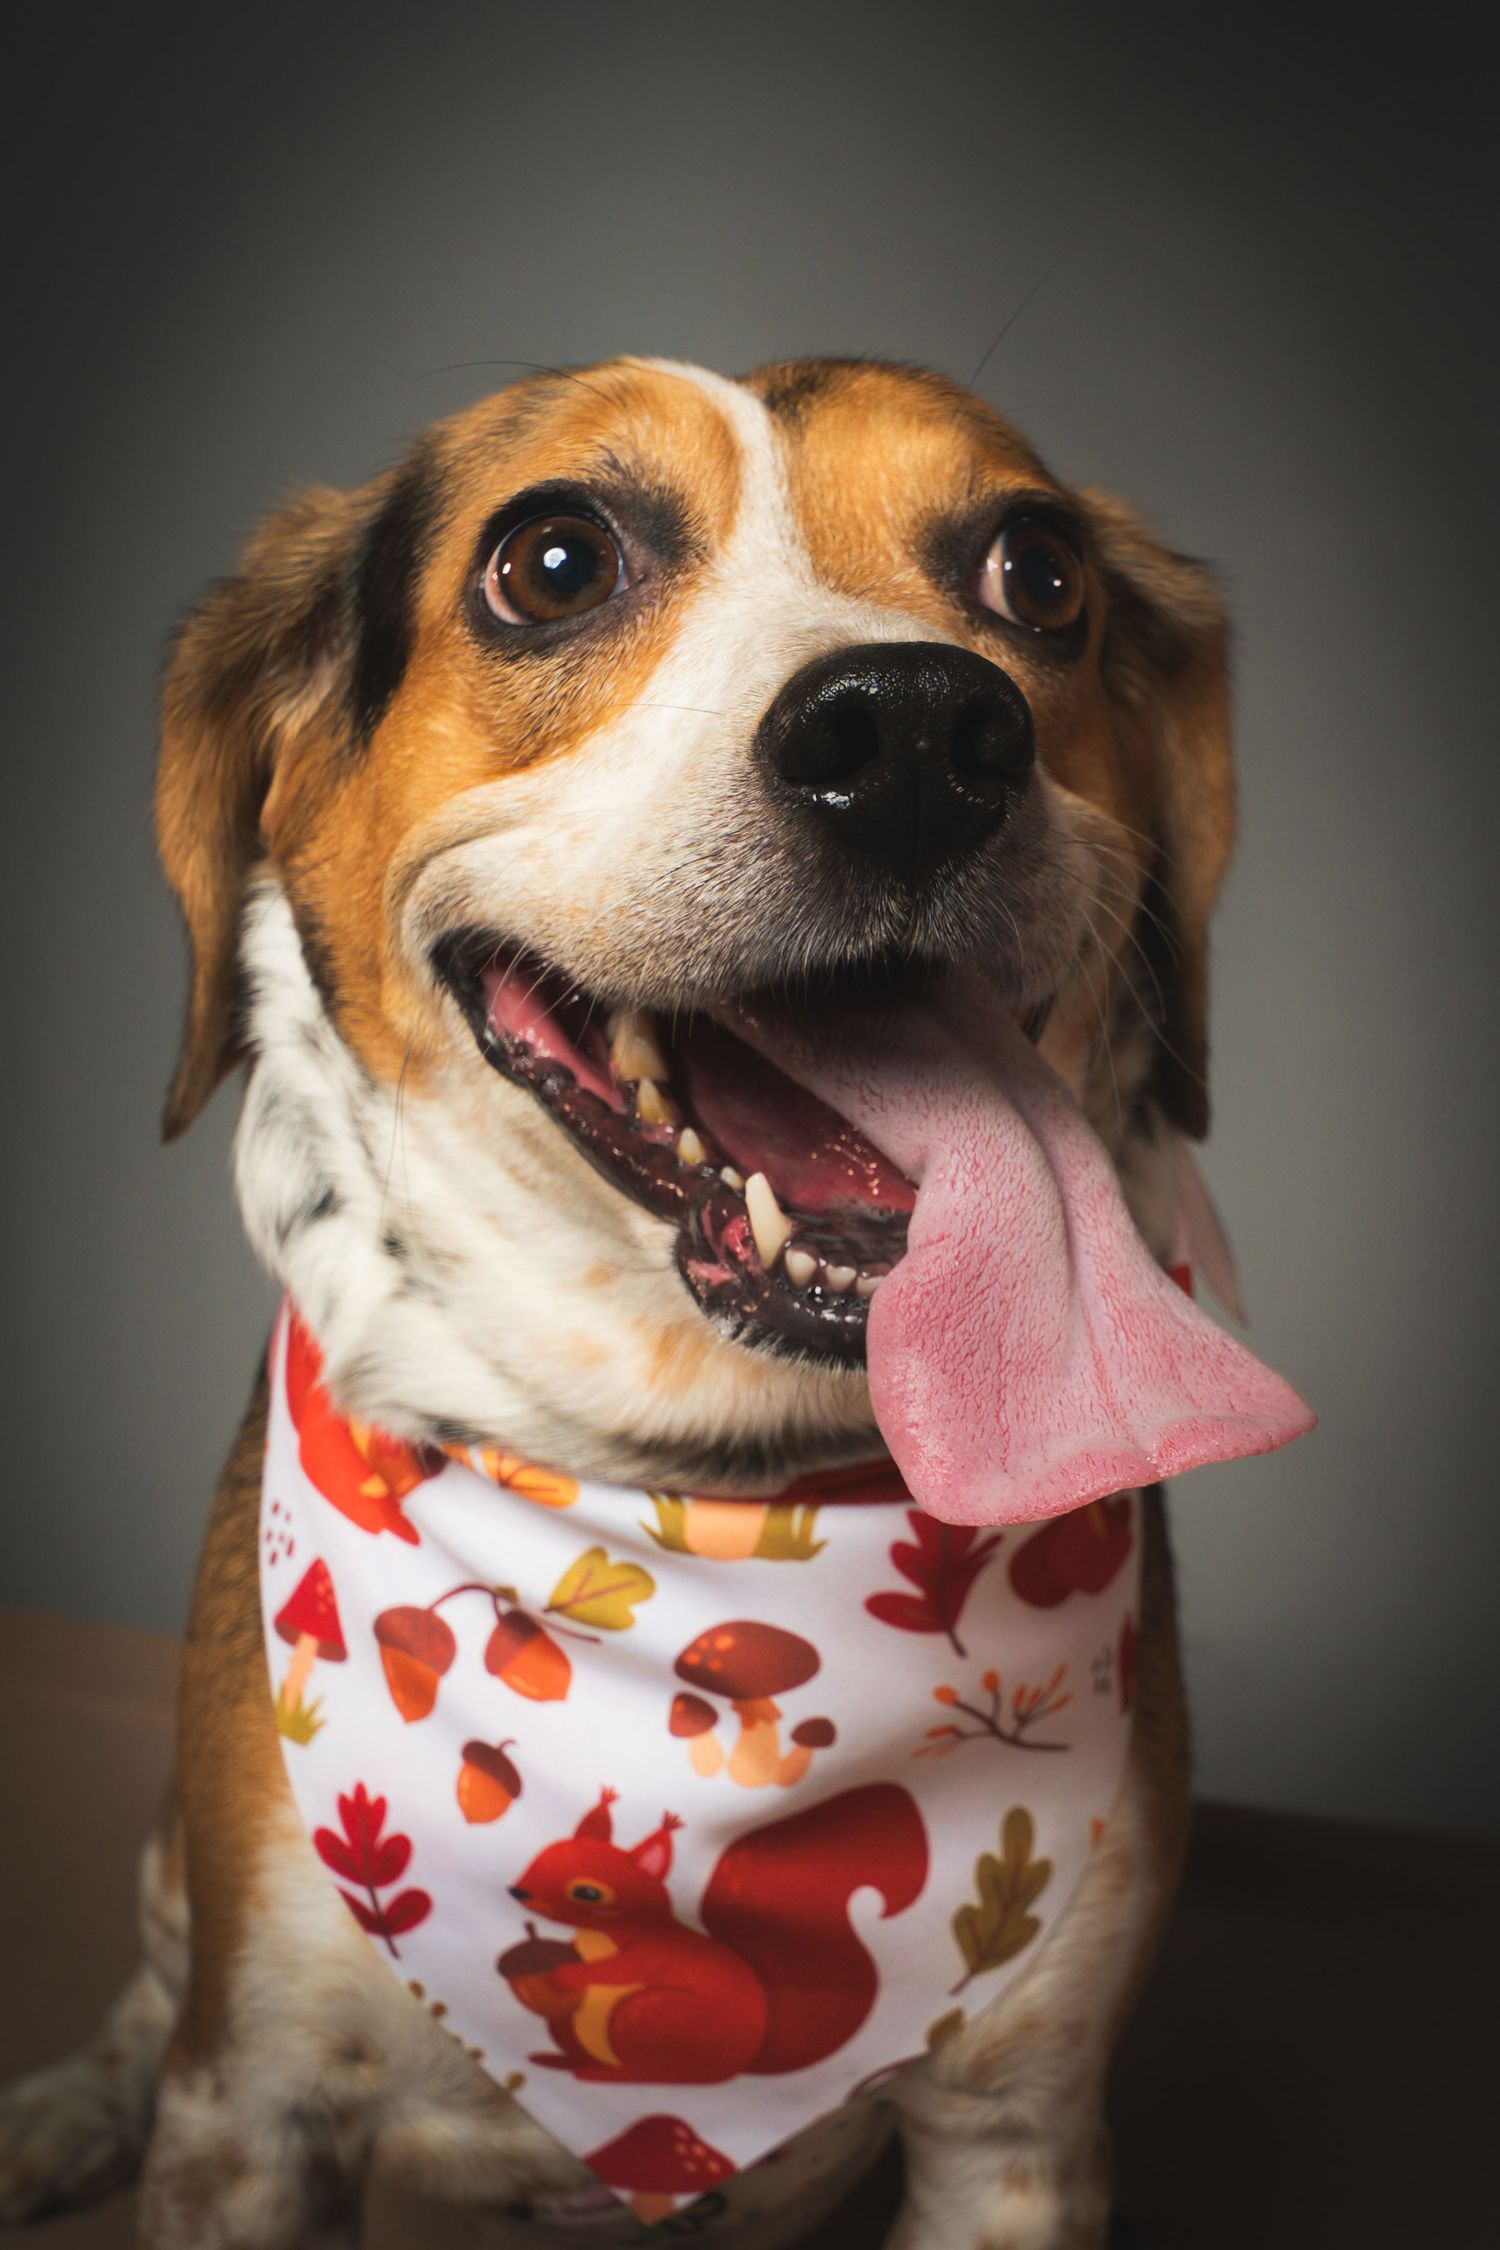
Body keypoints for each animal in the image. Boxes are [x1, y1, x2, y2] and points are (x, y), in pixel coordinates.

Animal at [498, 1782, 928, 2083]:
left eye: (588, 1892)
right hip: (574, 2026)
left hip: (648, 2014)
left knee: (657, 2074)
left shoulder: (654, 1953)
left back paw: (598, 2073)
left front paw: (571, 1973)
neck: (598, 1936)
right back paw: (558, 2059)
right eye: (545, 1854)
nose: (518, 1892)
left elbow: (622, 1969)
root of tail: (740, 2065)